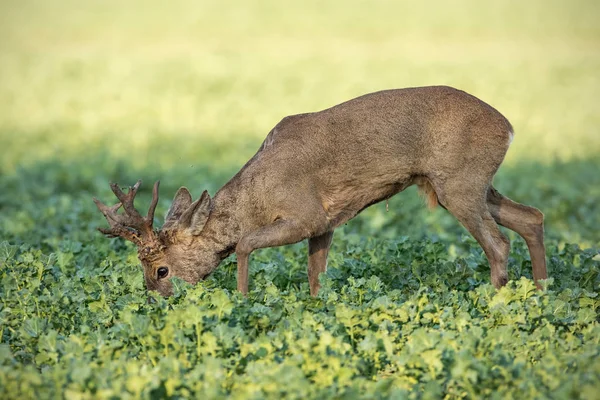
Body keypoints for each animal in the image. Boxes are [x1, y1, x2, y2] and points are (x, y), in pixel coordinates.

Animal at [94, 86, 548, 296]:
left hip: (459, 183)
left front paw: (242, 298)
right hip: (473, 183)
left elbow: (244, 243)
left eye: (161, 269)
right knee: (532, 216)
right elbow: (316, 274)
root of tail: (508, 127)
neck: (258, 196)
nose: (157, 301)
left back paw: (495, 302)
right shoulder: (326, 222)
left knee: (498, 243)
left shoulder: (304, 212)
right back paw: (540, 292)